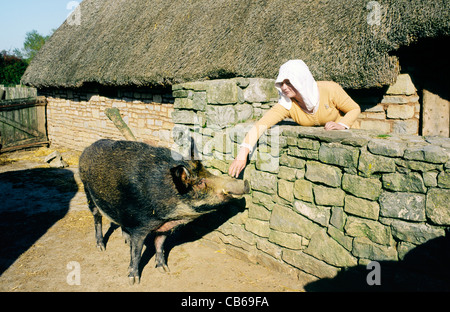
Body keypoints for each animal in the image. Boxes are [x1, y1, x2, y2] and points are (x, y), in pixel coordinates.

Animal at [80, 140, 250, 284]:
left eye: (208, 173)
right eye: (200, 183)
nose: (246, 183)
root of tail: (86, 149)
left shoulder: (164, 227)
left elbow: (160, 245)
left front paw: (164, 270)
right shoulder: (140, 226)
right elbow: (136, 252)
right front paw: (134, 280)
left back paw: (125, 241)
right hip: (88, 192)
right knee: (97, 219)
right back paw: (101, 247)